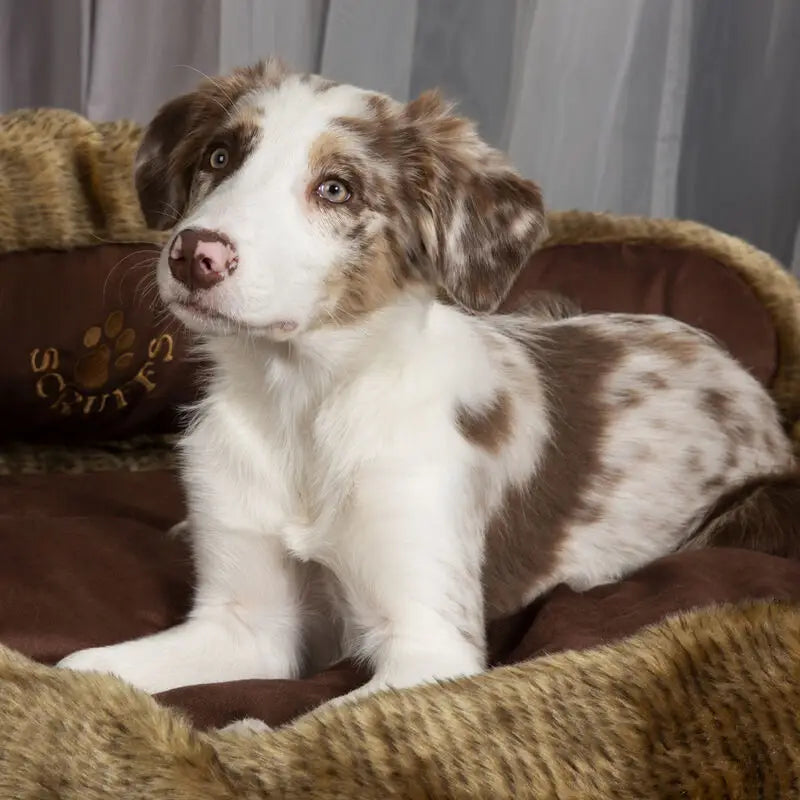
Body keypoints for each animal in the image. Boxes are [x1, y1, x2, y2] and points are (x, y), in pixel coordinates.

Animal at [57, 59, 792, 704]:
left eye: (336, 188)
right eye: (219, 157)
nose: (193, 255)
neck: (306, 403)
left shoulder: (429, 646)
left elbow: (299, 720)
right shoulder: (243, 625)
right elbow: (78, 670)